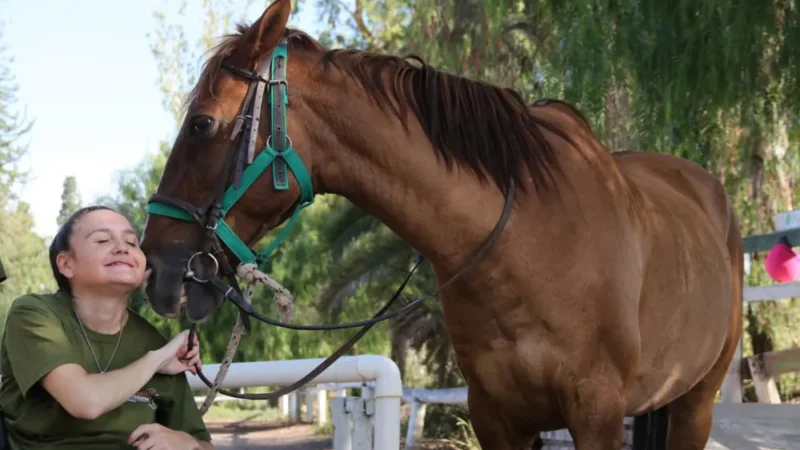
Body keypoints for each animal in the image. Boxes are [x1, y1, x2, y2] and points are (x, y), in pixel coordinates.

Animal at [139, 0, 743, 448]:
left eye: (201, 124)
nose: (154, 267)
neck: (529, 244)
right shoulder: (496, 417)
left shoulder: (596, 415)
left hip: (696, 403)